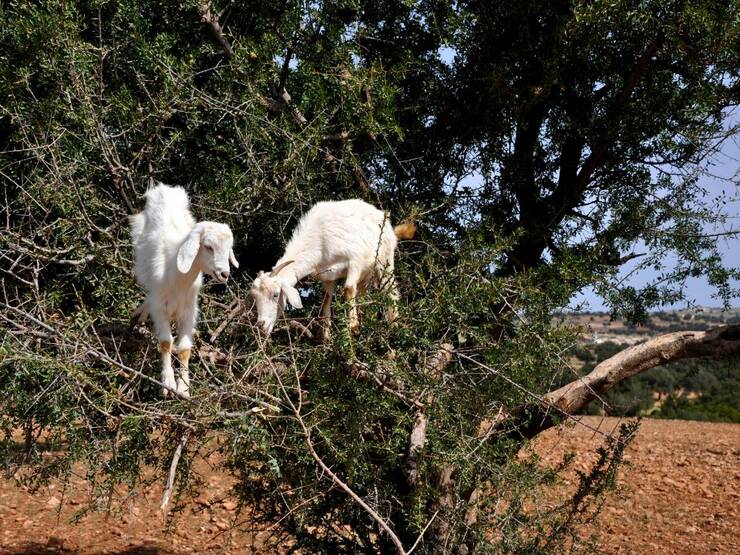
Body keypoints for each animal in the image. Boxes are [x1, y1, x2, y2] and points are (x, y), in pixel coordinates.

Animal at [130, 185, 238, 398]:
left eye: (229, 247)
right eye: (208, 246)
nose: (224, 273)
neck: (177, 277)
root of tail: (165, 189)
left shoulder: (190, 310)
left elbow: (184, 349)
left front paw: (184, 388)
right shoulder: (160, 308)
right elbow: (166, 342)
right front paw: (168, 384)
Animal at [250, 200, 416, 338]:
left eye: (275, 295)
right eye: (255, 298)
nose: (260, 326)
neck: (320, 239)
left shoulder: (355, 260)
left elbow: (348, 289)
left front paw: (353, 326)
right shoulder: (327, 276)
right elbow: (326, 299)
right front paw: (326, 337)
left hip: (385, 260)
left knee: (391, 292)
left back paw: (393, 327)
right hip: (366, 275)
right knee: (362, 293)